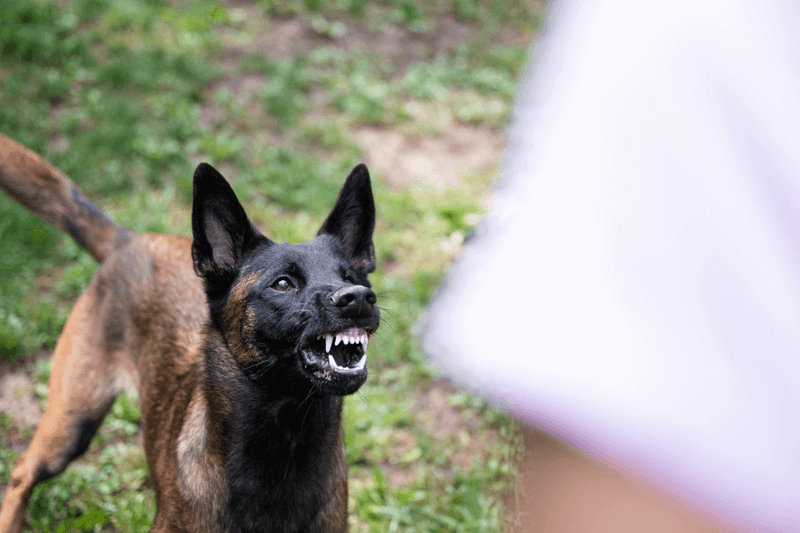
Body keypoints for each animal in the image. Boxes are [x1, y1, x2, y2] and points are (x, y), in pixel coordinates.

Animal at [0, 131, 380, 528]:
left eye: (351, 278)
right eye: (283, 284)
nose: (358, 298)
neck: (287, 439)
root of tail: (128, 240)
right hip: (72, 421)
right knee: (22, 472)